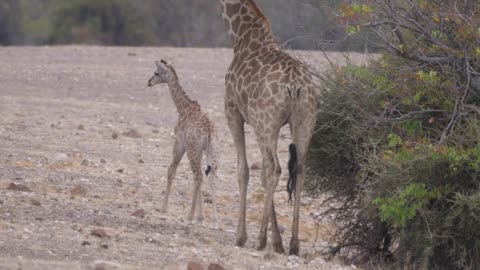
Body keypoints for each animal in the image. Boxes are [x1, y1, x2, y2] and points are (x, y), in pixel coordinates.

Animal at [147, 59, 218, 228]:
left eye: (156, 73)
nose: (149, 82)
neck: (182, 108)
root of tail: (209, 131)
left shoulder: (179, 144)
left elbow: (171, 170)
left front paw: (163, 208)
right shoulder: (199, 151)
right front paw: (201, 217)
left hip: (191, 150)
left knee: (198, 176)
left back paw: (189, 216)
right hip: (212, 151)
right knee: (211, 176)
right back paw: (213, 220)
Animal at [220, 0, 318, 255]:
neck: (240, 35)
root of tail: (295, 85)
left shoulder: (233, 111)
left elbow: (245, 171)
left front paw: (242, 237)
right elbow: (262, 175)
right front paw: (278, 242)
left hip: (266, 122)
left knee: (275, 168)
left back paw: (260, 240)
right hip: (305, 122)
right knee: (299, 169)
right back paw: (293, 244)